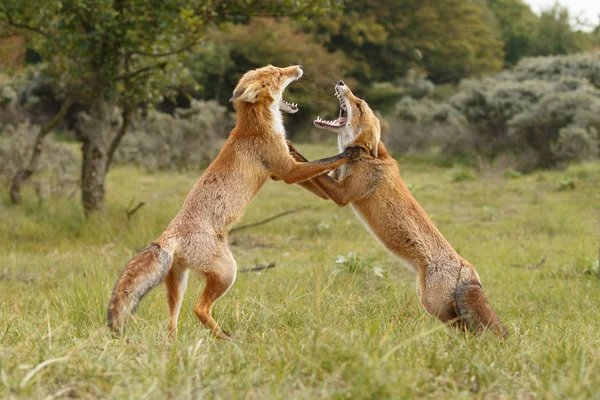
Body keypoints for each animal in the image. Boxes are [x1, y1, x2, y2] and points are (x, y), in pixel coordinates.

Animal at [106, 66, 360, 340]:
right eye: (280, 75)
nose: (299, 68)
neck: (257, 124)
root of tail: (167, 236)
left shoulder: (280, 172)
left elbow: (318, 175)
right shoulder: (288, 172)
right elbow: (325, 161)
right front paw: (348, 153)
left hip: (179, 282)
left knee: (171, 323)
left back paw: (177, 344)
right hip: (228, 272)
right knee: (199, 308)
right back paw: (227, 339)